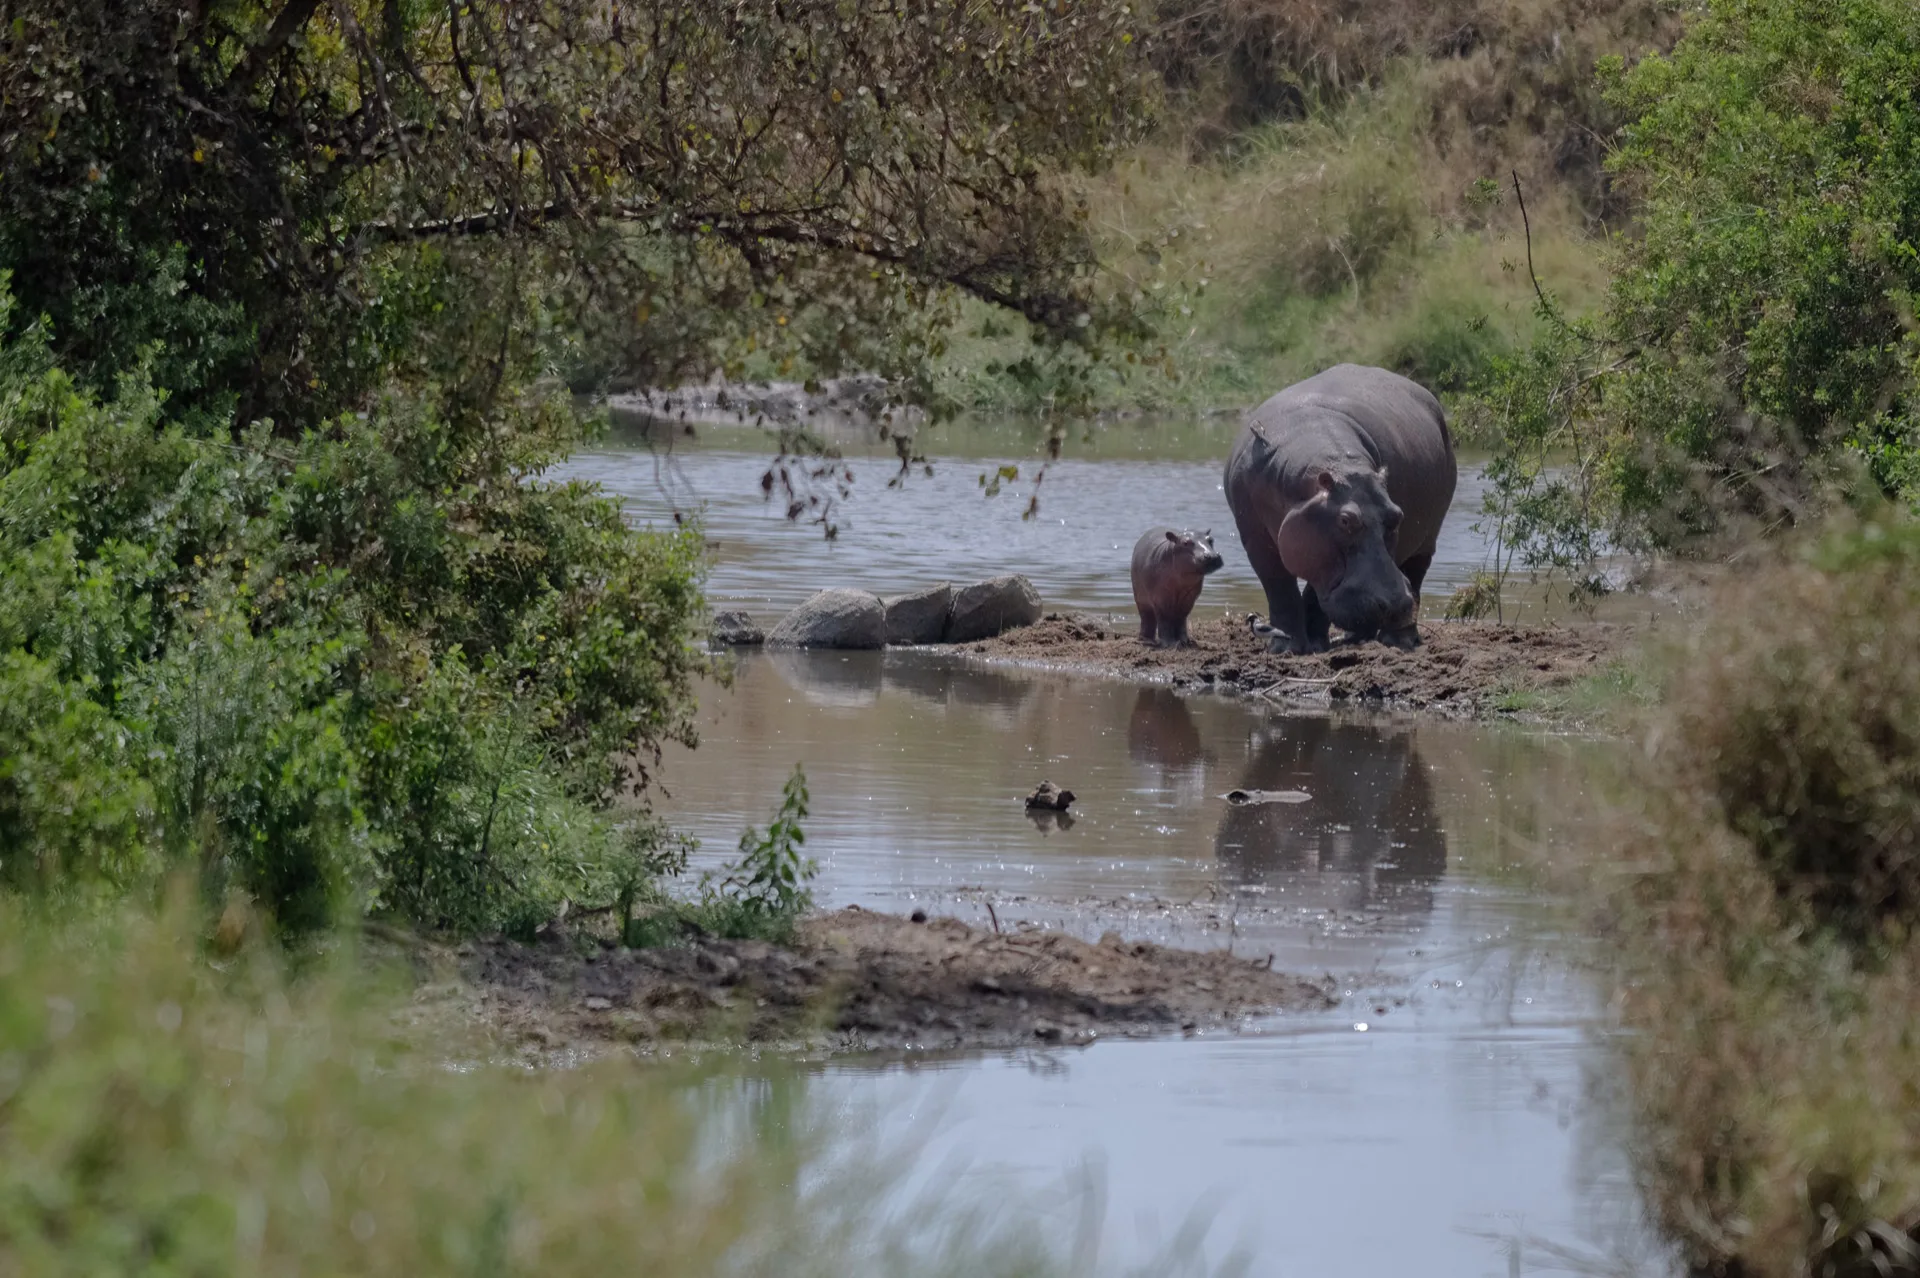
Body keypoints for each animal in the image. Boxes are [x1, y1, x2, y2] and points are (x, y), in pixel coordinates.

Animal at [1223, 364, 1456, 653]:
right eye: (1345, 520)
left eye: (1397, 516)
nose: (1396, 604)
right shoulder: (1259, 539)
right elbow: (1279, 588)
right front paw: (1287, 648)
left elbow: (1314, 594)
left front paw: (1313, 644)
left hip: (1428, 539)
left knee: (1416, 571)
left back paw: (1396, 640)